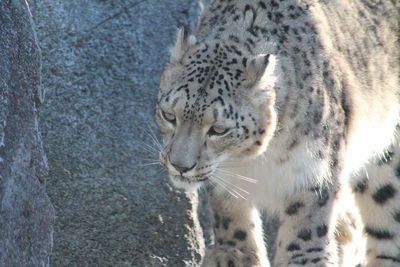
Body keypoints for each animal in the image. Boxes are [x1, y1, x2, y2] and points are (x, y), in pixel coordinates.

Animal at [154, 1, 400, 266]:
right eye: (169, 115)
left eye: (218, 129)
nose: (180, 166)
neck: (255, 162)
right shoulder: (226, 182)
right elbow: (230, 215)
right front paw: (233, 253)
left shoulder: (313, 176)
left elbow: (305, 237)